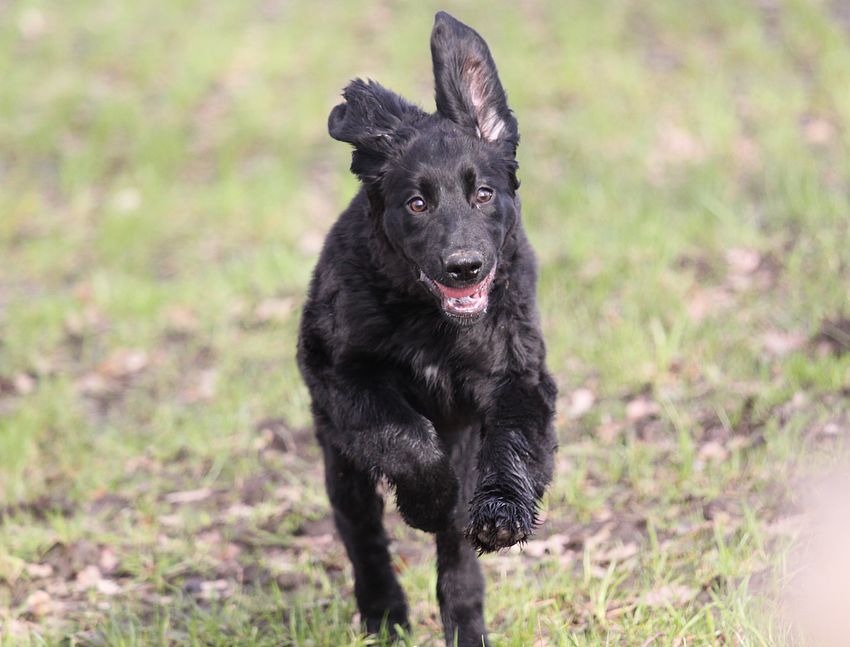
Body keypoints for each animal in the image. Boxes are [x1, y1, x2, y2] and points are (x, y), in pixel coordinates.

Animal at [296, 12, 557, 646]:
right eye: (417, 203)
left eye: (483, 193)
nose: (465, 267)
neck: (433, 322)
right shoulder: (345, 378)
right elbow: (407, 439)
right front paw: (429, 503)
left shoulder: (520, 374)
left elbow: (514, 443)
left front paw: (500, 511)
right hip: (339, 455)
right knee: (363, 535)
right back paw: (383, 614)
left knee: (457, 566)